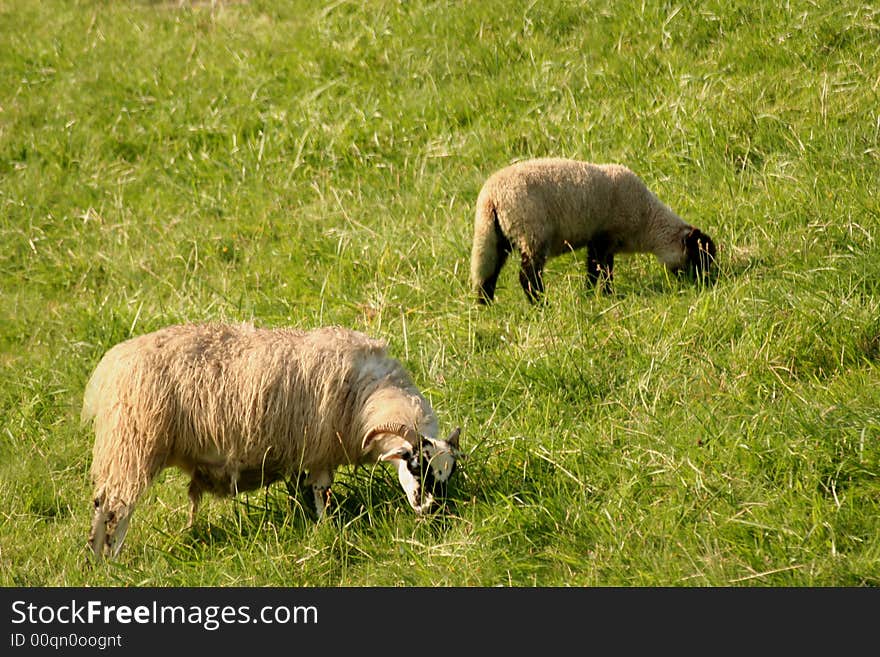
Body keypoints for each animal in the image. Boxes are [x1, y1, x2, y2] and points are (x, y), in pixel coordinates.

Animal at [80, 322, 464, 560]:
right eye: (414, 465)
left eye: (448, 474)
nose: (430, 509)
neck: (367, 395)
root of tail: (112, 364)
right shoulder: (319, 449)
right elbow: (320, 490)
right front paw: (325, 527)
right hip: (133, 444)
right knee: (115, 508)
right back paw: (110, 559)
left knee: (103, 502)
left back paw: (96, 561)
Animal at [468, 158, 716, 304]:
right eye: (699, 257)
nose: (706, 283)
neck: (647, 221)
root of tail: (491, 197)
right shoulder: (603, 236)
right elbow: (597, 270)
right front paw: (597, 294)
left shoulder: (604, 242)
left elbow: (604, 270)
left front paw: (601, 295)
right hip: (532, 233)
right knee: (528, 277)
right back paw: (542, 305)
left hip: (495, 235)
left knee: (487, 273)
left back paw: (488, 306)